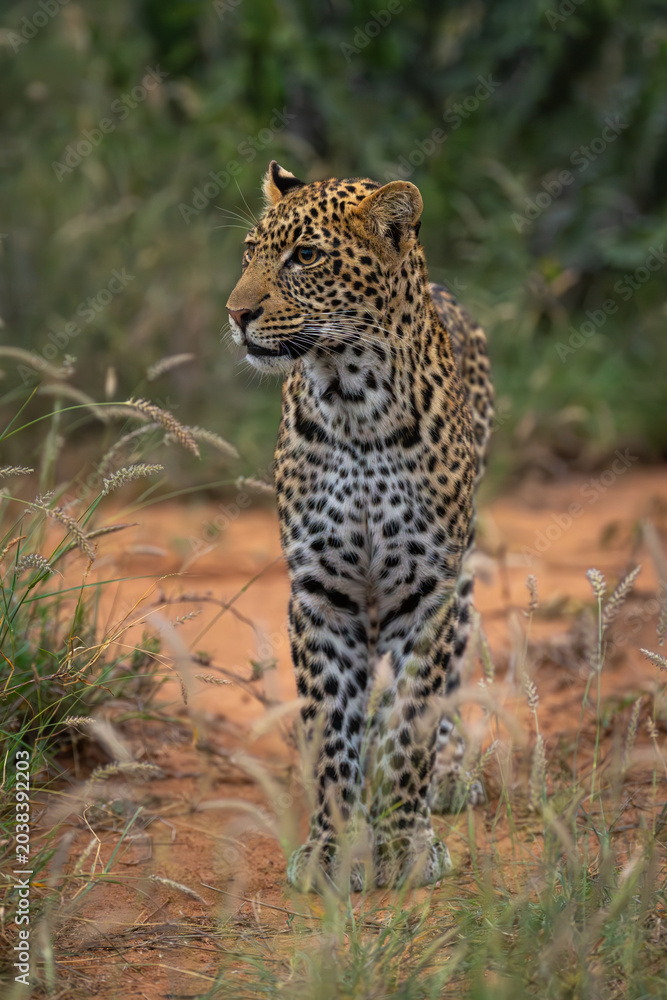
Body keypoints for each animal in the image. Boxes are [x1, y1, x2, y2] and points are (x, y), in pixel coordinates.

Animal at [226, 161, 494, 891]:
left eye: (305, 256)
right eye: (249, 252)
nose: (236, 314)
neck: (354, 403)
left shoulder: (424, 593)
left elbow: (411, 725)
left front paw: (404, 841)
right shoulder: (322, 594)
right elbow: (330, 731)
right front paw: (334, 846)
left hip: (461, 584)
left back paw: (449, 773)